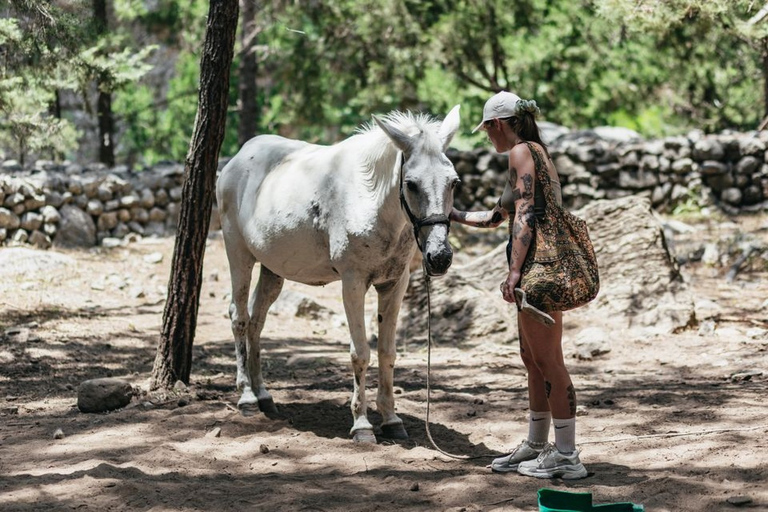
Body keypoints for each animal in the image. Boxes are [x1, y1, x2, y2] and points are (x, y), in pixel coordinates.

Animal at [213, 106, 460, 442]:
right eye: (411, 183)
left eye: (454, 182)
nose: (439, 257)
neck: (371, 201)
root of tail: (237, 159)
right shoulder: (353, 284)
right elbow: (361, 353)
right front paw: (362, 424)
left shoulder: (394, 285)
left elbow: (387, 353)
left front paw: (392, 420)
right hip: (239, 256)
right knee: (238, 316)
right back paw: (247, 397)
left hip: (272, 271)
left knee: (255, 321)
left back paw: (263, 393)